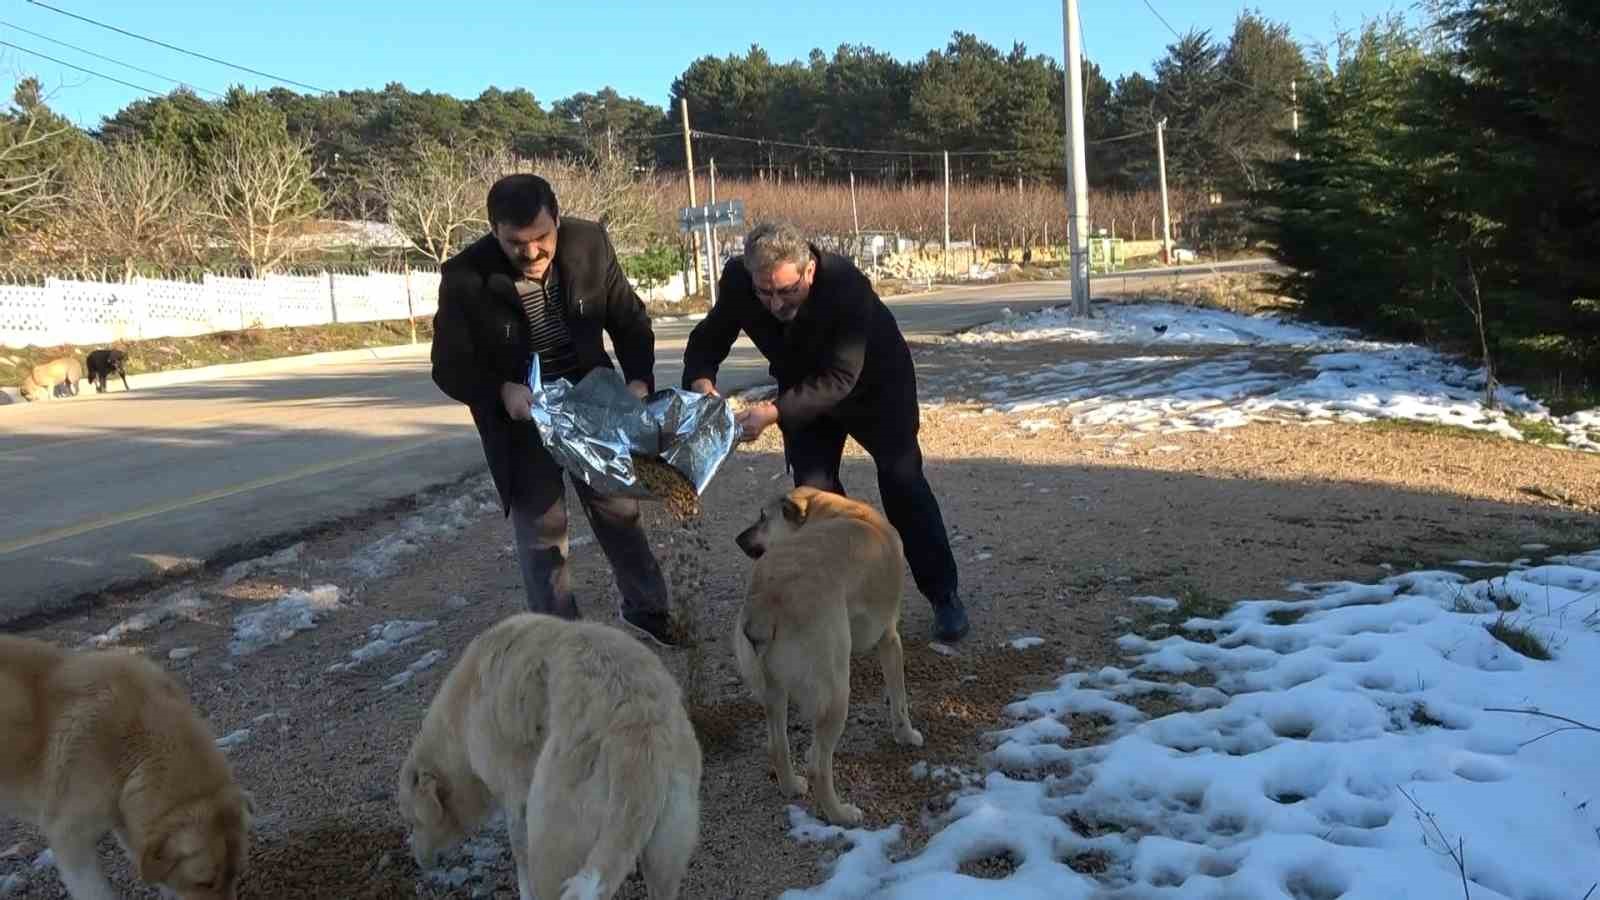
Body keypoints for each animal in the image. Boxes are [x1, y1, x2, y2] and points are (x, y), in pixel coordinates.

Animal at [395, 608, 700, 896]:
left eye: (412, 821)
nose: (418, 861)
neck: (460, 715)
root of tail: (637, 734)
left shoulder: (516, 801)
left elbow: (520, 862)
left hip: (552, 846)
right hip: (666, 858)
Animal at [729, 486, 921, 826]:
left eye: (763, 517)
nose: (738, 539)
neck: (835, 511)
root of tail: (768, 600)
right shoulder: (889, 640)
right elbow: (899, 701)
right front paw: (907, 735)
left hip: (774, 693)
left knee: (777, 745)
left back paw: (791, 786)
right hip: (837, 693)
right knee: (819, 767)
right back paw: (840, 814)